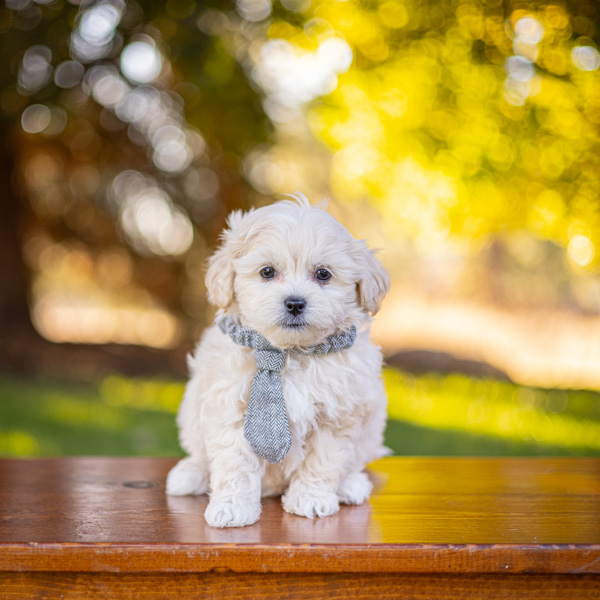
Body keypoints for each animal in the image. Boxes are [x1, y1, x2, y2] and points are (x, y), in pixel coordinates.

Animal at [165, 195, 390, 528]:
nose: (295, 303)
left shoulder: (338, 416)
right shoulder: (230, 408)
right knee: (199, 455)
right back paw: (189, 474)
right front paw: (232, 506)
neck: (288, 352)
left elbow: (323, 460)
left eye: (323, 274)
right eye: (267, 272)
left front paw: (311, 498)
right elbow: (235, 463)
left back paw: (351, 485)